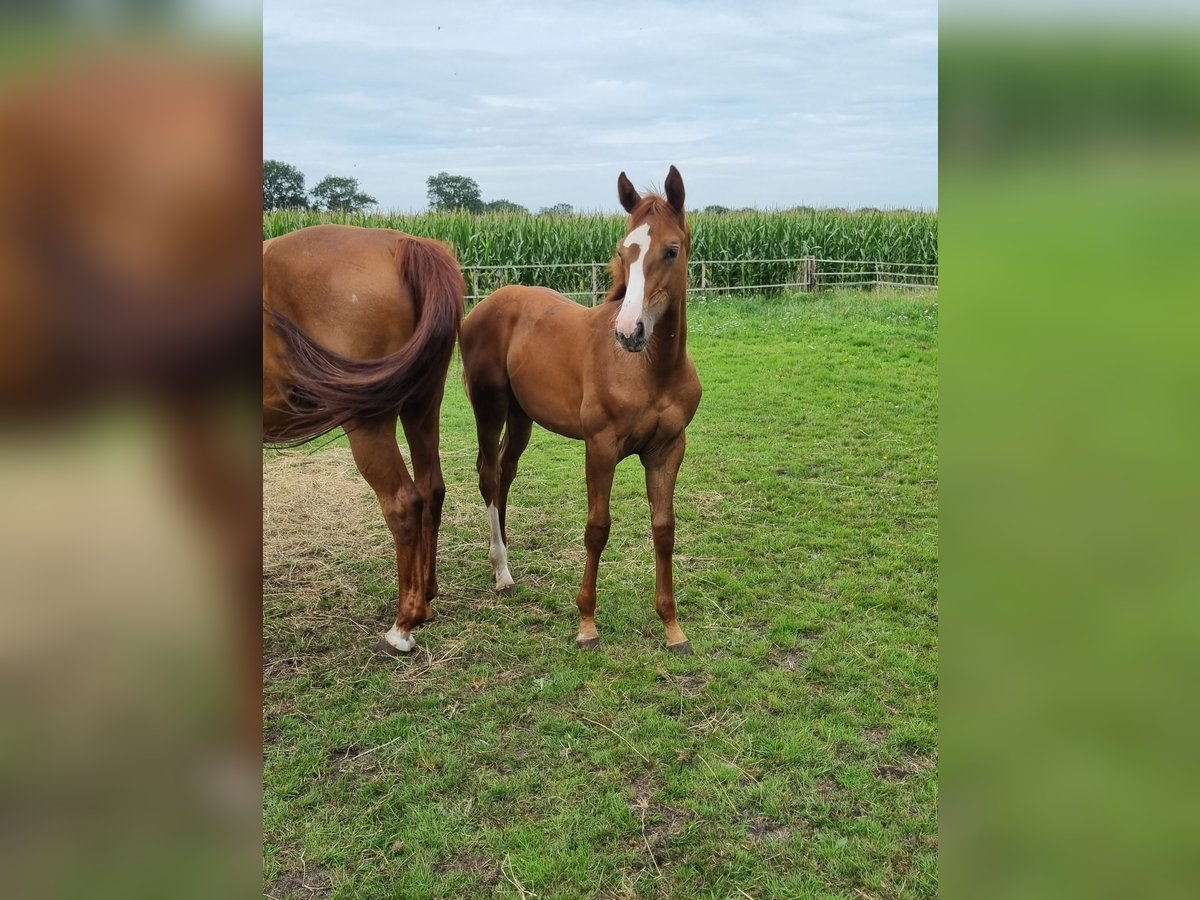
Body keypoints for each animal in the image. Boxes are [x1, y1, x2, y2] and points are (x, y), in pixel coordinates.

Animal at [262, 225, 463, 657]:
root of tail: (405, 245)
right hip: (423, 406)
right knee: (431, 489)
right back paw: (426, 598)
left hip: (370, 424)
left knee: (403, 502)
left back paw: (404, 625)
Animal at [458, 164, 700, 657]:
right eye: (624, 251)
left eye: (671, 250)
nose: (629, 332)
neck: (653, 371)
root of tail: (483, 305)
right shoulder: (600, 448)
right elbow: (597, 528)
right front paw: (587, 624)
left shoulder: (668, 449)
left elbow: (664, 529)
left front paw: (672, 627)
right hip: (489, 407)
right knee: (488, 473)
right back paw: (502, 572)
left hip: (522, 416)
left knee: (506, 471)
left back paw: (501, 553)